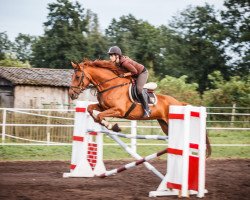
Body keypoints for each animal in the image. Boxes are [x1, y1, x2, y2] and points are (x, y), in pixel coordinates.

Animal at [69, 59, 211, 156]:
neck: (111, 85)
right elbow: (91, 109)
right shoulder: (103, 106)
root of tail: (179, 103)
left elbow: (99, 115)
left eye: (77, 77)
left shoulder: (119, 110)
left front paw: (112, 126)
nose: (71, 94)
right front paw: (109, 125)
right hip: (165, 125)